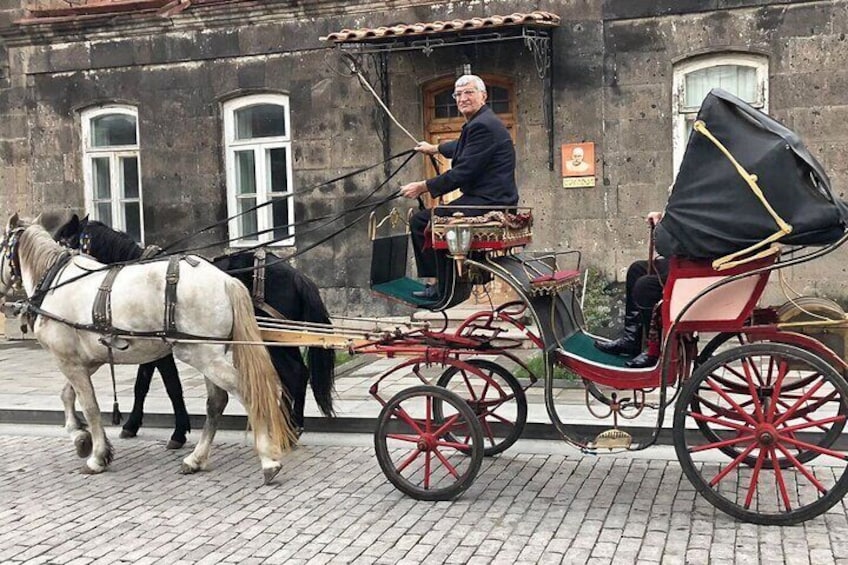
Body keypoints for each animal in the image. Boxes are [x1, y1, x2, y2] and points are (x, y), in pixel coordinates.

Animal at [0, 215, 296, 480]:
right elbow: (68, 394)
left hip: (201, 354)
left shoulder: (69, 361)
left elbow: (91, 404)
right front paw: (80, 435)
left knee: (248, 390)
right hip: (210, 354)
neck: (56, 282)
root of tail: (225, 280)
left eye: (1, 245)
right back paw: (196, 458)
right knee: (217, 401)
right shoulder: (86, 359)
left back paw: (268, 459)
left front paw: (97, 455)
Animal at [53, 213, 334, 446]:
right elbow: (144, 384)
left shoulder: (157, 347)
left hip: (273, 341)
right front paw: (138, 424)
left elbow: (166, 386)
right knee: (297, 374)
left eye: (61, 240)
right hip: (283, 339)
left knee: (294, 374)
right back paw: (287, 425)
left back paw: (292, 427)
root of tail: (298, 276)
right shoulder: (148, 346)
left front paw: (174, 432)